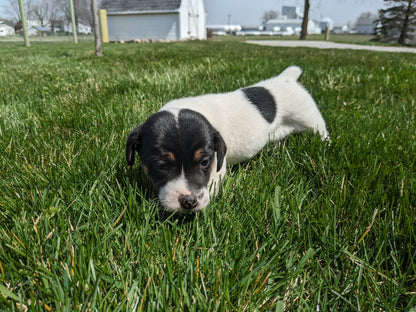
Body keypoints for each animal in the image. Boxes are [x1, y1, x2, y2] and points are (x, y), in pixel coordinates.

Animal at [126, 64, 328, 213]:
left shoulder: (218, 166)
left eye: (205, 162)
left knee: (321, 130)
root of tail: (287, 78)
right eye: (161, 165)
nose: (189, 201)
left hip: (308, 116)